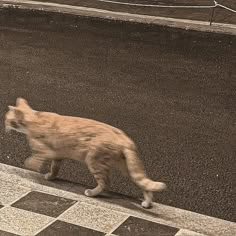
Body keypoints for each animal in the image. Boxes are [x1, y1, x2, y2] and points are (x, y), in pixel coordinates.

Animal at [4, 97, 166, 208]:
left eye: (6, 119)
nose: (4, 126)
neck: (34, 118)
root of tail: (125, 139)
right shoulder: (58, 155)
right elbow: (54, 168)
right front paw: (51, 177)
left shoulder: (44, 150)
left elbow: (35, 159)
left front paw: (31, 166)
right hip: (126, 166)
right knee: (144, 184)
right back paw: (147, 203)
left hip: (94, 161)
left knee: (105, 183)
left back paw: (92, 193)